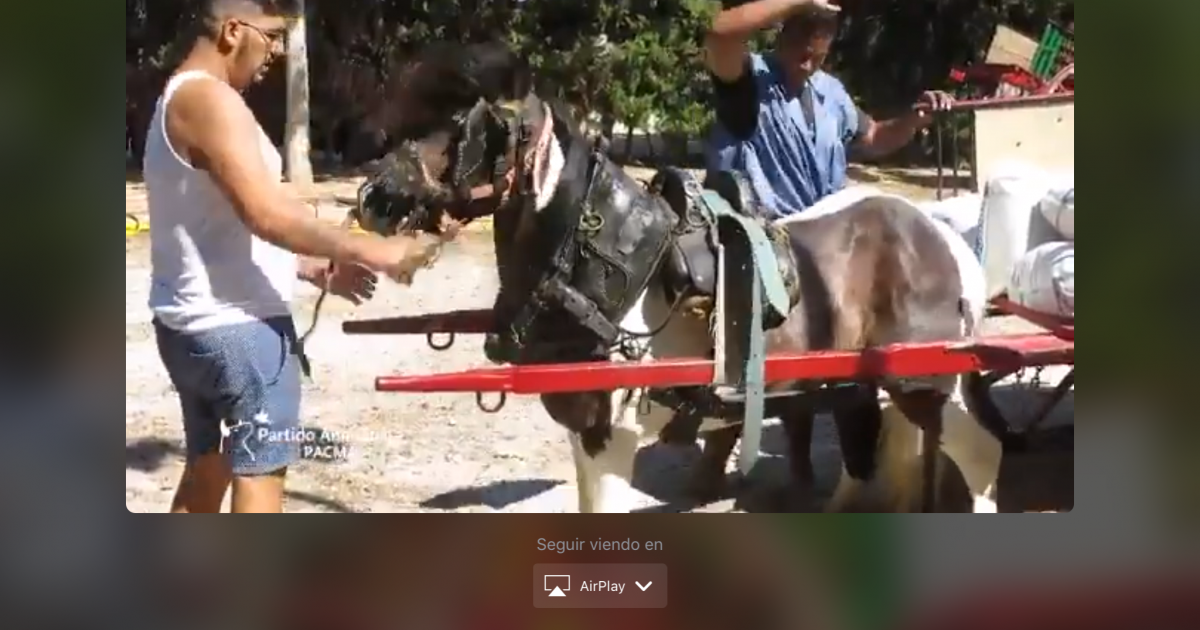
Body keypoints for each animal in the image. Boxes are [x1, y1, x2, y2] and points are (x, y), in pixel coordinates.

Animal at [350, 40, 1003, 511]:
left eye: (464, 123)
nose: (374, 198)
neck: (597, 264)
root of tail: (943, 237)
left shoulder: (612, 435)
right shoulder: (583, 429)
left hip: (925, 382)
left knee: (982, 457)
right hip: (860, 382)